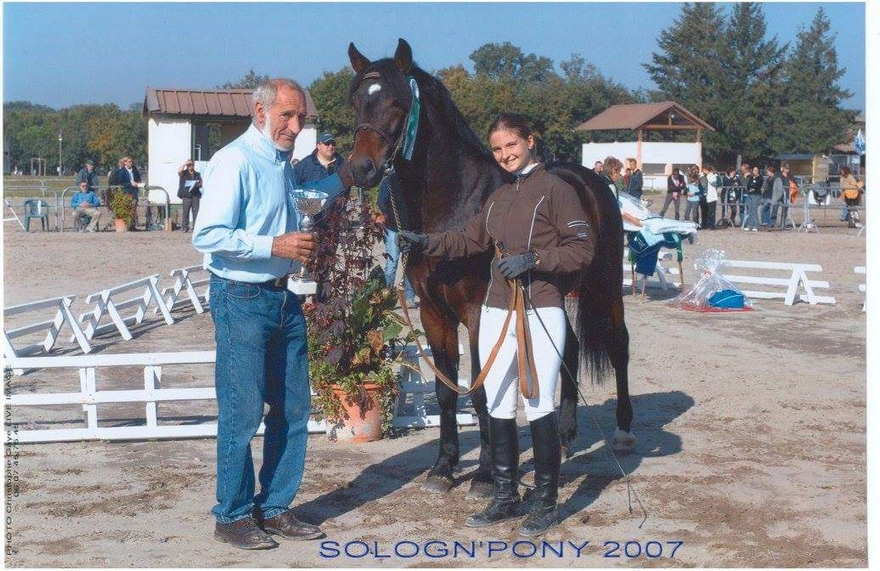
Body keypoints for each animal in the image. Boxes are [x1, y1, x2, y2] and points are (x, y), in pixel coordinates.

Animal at [344, 40, 632, 498]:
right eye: (355, 101)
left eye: (397, 102)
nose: (361, 168)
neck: (455, 206)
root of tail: (594, 181)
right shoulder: (434, 313)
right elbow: (446, 392)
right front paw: (443, 468)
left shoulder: (479, 311)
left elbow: (484, 391)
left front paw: (482, 476)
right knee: (568, 348)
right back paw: (565, 435)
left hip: (604, 285)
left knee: (619, 345)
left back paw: (622, 431)